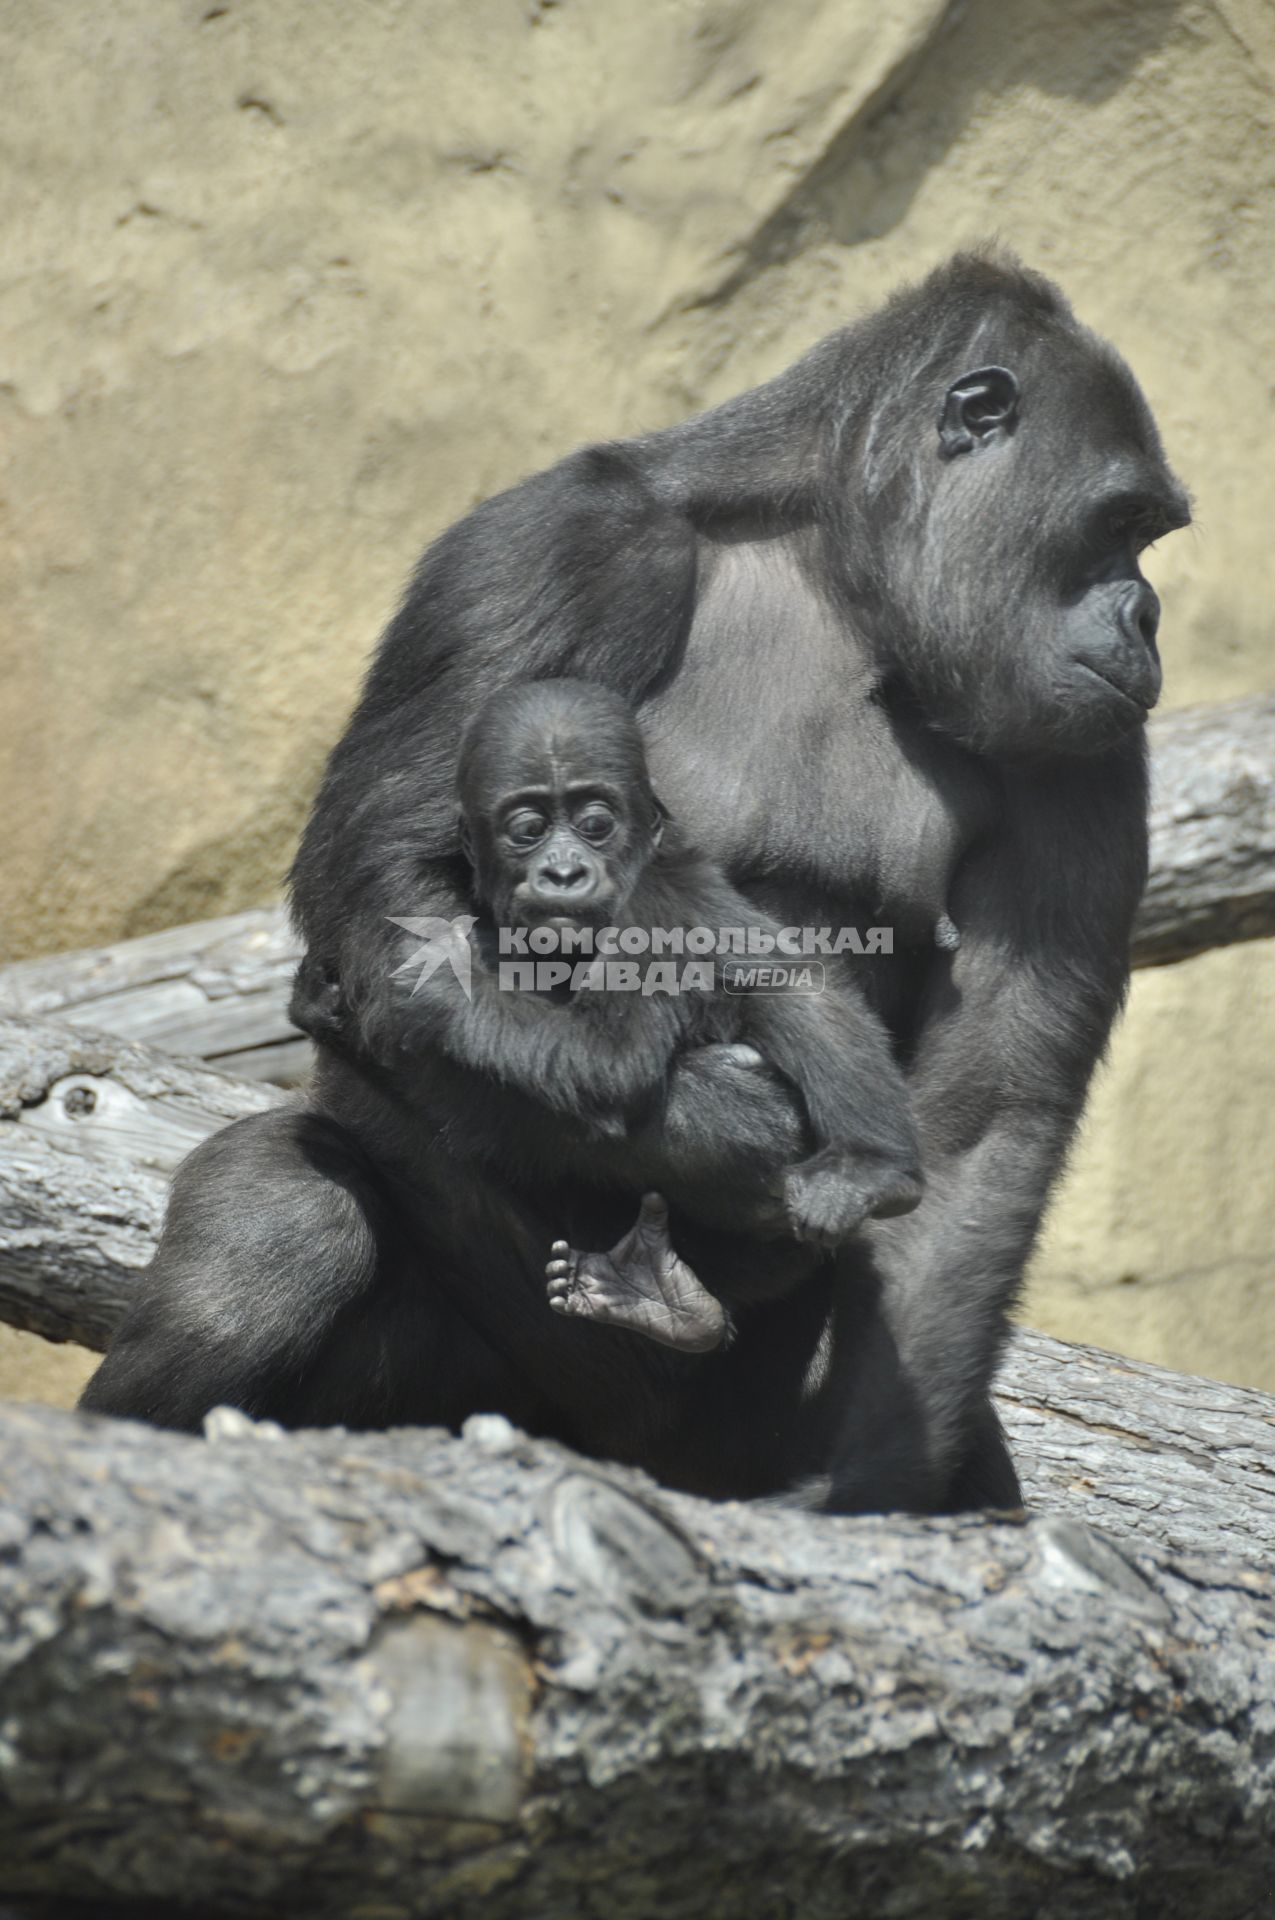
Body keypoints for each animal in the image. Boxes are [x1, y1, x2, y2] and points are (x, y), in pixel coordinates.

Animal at [453, 675, 921, 1351]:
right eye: (529, 829)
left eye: (595, 824)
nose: (564, 871)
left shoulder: (647, 914)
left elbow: (611, 1060)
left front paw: (426, 981)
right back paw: (656, 1294)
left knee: (797, 996)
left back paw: (874, 1169)